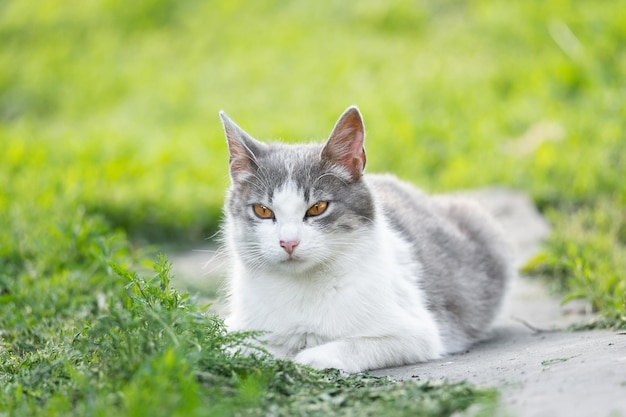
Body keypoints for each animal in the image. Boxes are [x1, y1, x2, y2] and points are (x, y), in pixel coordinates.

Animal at [219, 105, 512, 372]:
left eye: (317, 208)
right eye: (263, 211)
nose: (288, 242)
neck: (300, 287)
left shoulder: (418, 332)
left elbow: (357, 344)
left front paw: (312, 357)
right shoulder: (235, 328)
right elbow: (244, 348)